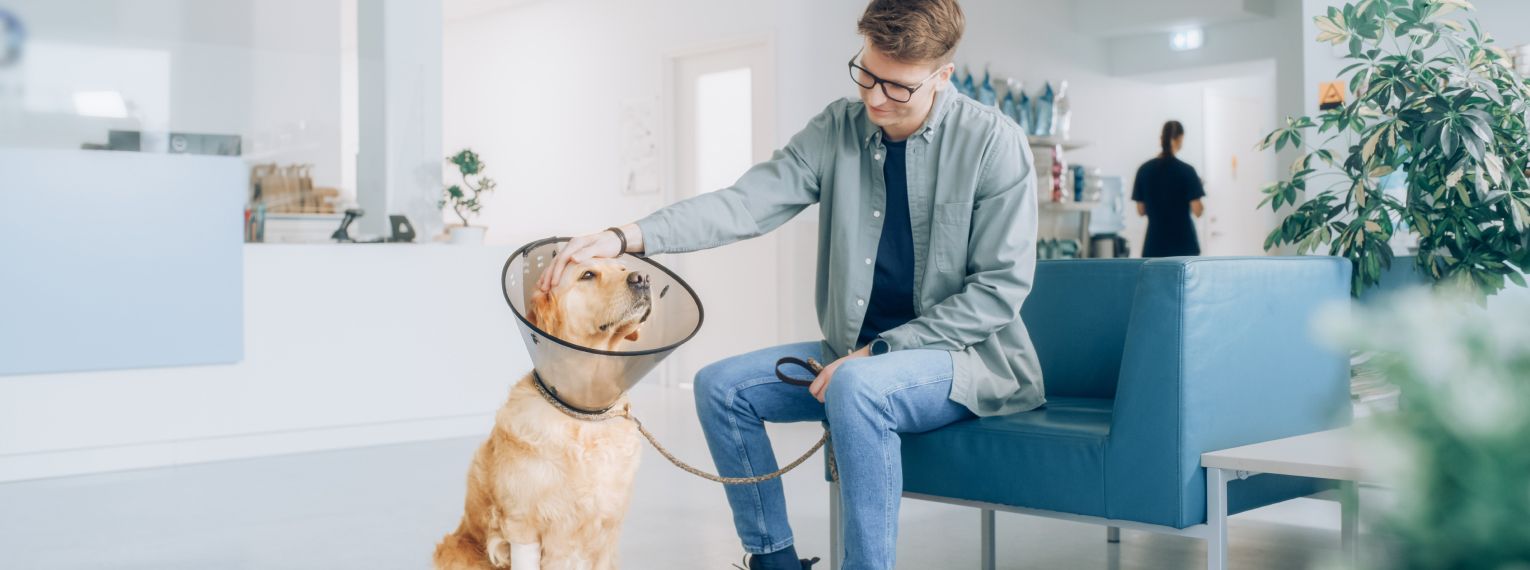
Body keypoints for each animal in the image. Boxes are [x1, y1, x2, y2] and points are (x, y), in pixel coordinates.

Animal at [440, 258, 654, 568]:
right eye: (587, 274)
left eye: (623, 268)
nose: (643, 278)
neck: (582, 413)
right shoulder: (522, 525)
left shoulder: (606, 530)